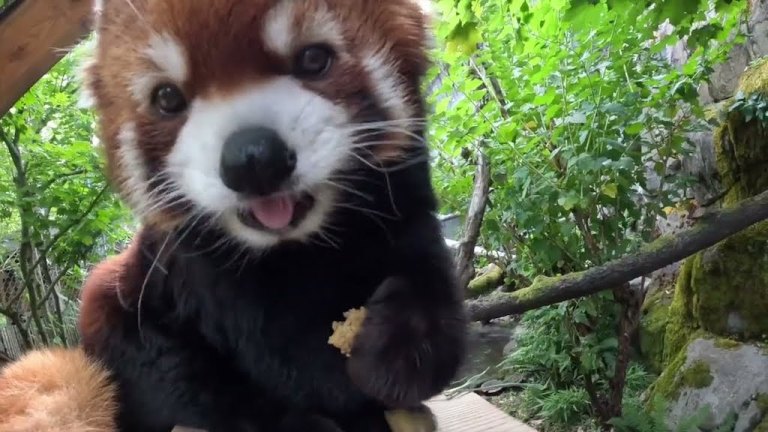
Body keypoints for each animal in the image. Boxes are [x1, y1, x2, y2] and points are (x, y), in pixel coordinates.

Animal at [1, 0, 468, 430]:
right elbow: (171, 362)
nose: (253, 158)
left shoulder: (404, 209)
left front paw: (399, 351)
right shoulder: (155, 277)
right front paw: (300, 412)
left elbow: (429, 275)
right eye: (167, 97)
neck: (294, 248)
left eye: (313, 59)